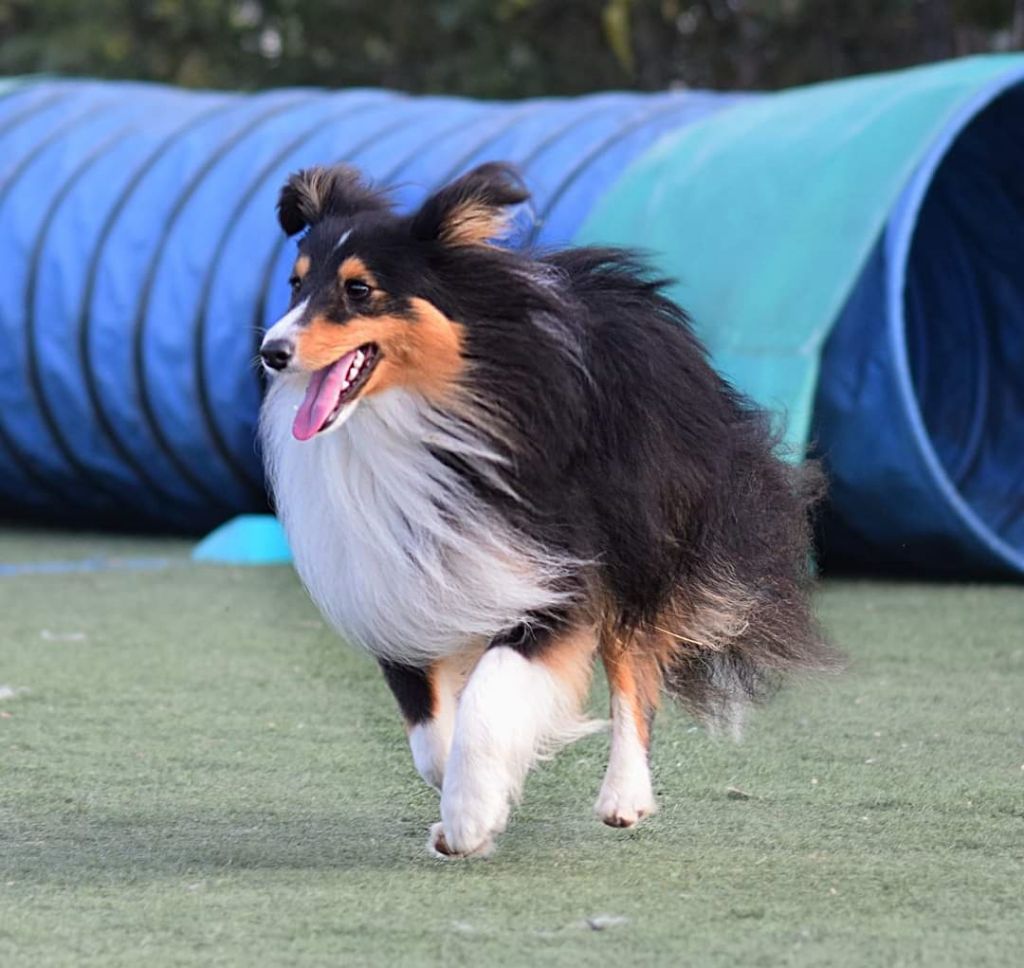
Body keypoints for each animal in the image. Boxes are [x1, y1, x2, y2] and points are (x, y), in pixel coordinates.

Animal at [258, 162, 831, 856]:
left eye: (359, 289)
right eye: (295, 284)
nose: (271, 351)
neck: (418, 419)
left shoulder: (555, 572)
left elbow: (489, 696)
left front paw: (470, 815)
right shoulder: (397, 585)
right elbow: (430, 735)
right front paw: (468, 804)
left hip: (640, 548)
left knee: (634, 673)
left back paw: (624, 796)